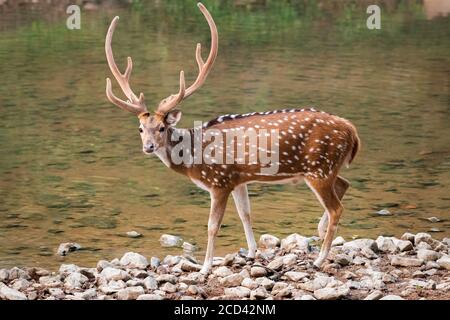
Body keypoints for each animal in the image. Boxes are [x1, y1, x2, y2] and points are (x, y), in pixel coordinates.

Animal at [103, 2, 360, 274]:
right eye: (141, 128)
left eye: (162, 127)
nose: (149, 147)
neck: (194, 158)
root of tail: (352, 130)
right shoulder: (238, 180)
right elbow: (245, 214)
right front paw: (251, 252)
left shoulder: (220, 180)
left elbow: (212, 225)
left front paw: (205, 267)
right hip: (325, 168)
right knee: (344, 184)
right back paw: (319, 232)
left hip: (319, 168)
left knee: (336, 208)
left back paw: (320, 258)